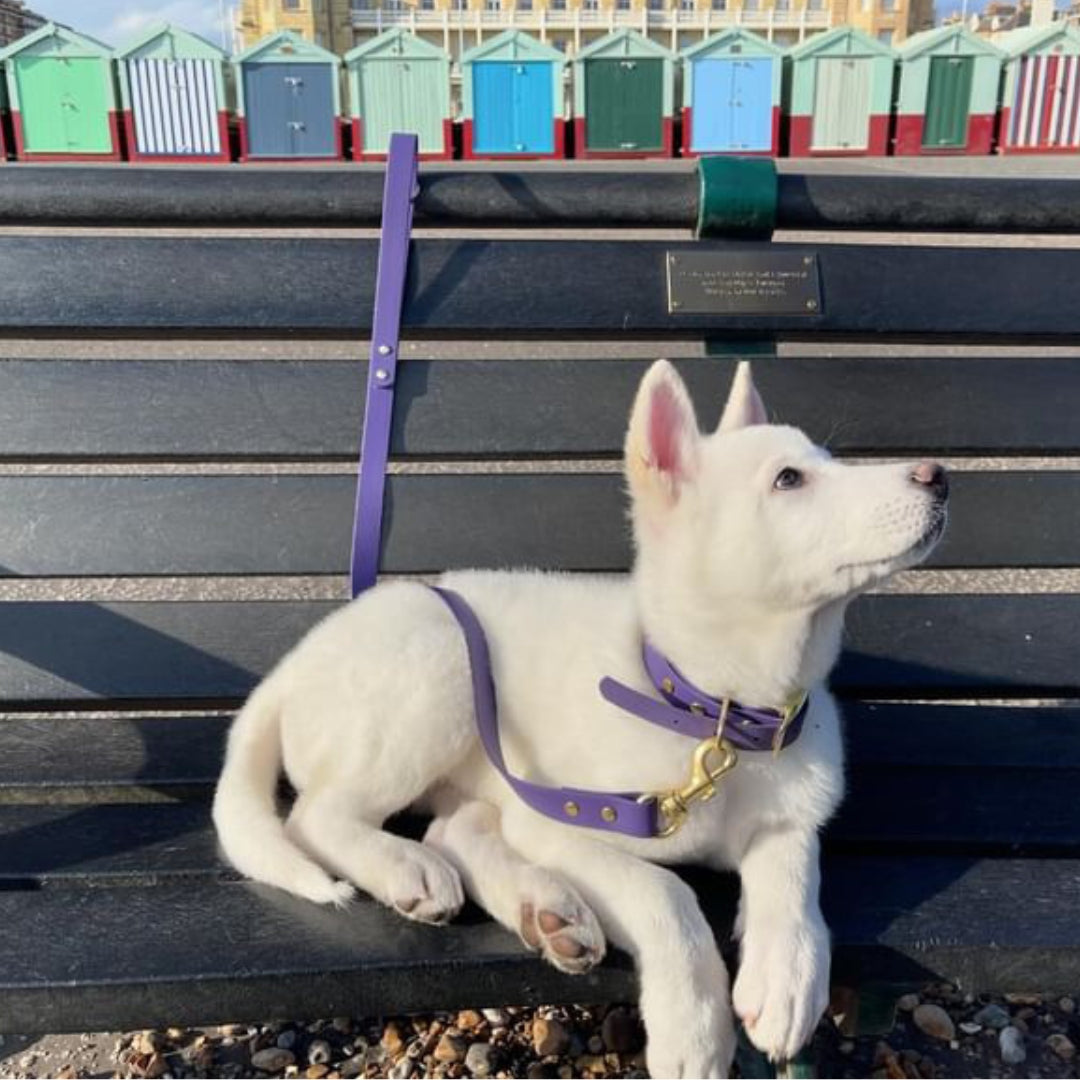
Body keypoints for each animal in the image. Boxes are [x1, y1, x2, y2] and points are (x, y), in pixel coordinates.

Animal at [214, 360, 950, 1071]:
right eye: (789, 478)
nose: (938, 476)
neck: (715, 716)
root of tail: (295, 662)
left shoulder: (786, 815)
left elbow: (795, 865)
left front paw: (787, 974)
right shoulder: (556, 819)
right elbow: (664, 891)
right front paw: (694, 1026)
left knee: (452, 830)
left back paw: (547, 910)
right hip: (442, 664)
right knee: (319, 818)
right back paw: (410, 870)